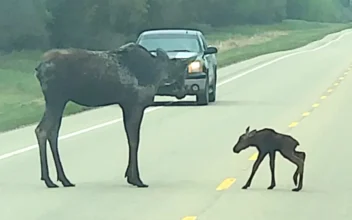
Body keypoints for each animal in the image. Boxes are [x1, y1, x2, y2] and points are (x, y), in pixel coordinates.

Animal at [34, 43, 197, 189]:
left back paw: (63, 179)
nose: (183, 91)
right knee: (42, 130)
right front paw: (137, 179)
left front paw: (129, 176)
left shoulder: (125, 105)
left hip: (59, 101)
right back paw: (49, 180)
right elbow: (135, 140)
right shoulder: (135, 104)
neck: (156, 75)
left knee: (53, 132)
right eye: (183, 72)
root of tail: (39, 68)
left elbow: (130, 138)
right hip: (56, 99)